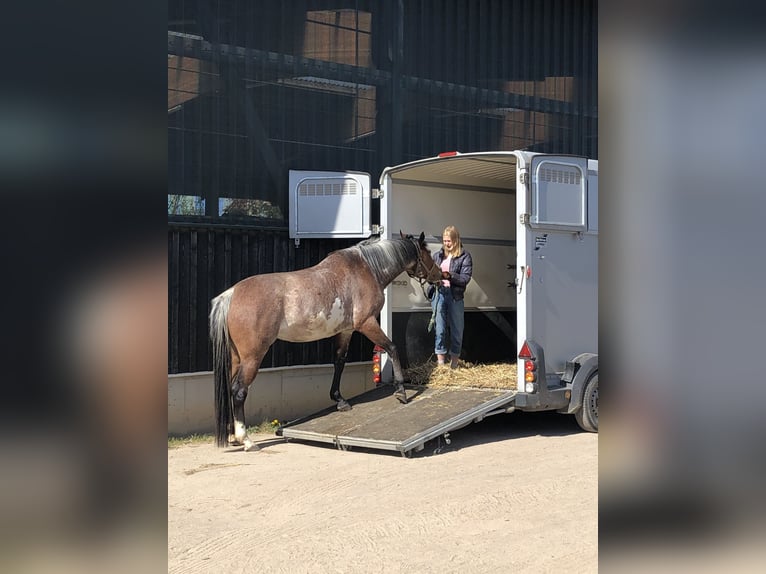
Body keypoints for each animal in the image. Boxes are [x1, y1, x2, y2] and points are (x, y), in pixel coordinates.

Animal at [209, 231, 443, 451]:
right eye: (427, 252)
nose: (440, 275)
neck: (366, 269)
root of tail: (231, 295)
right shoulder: (366, 324)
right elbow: (392, 348)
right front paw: (401, 391)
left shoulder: (346, 331)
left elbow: (339, 362)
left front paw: (340, 400)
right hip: (253, 357)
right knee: (239, 391)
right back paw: (247, 440)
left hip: (237, 357)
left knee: (230, 387)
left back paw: (233, 436)